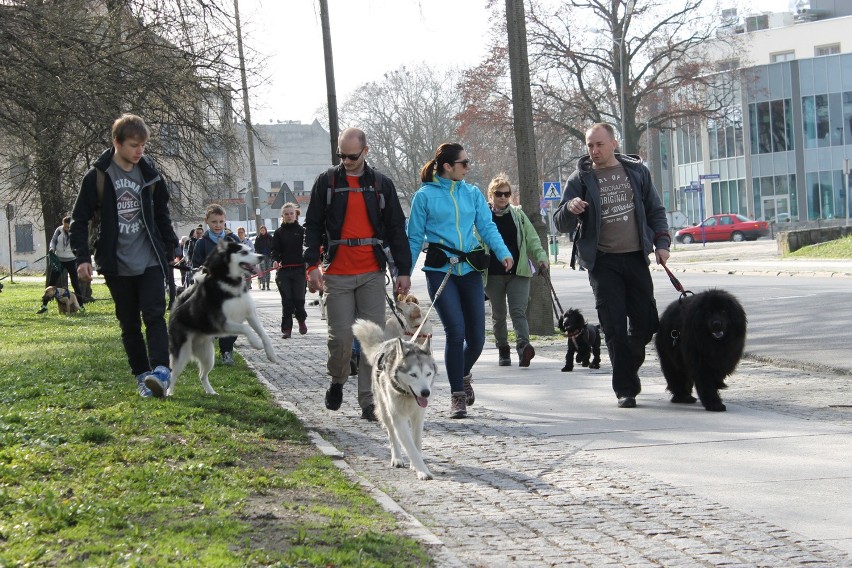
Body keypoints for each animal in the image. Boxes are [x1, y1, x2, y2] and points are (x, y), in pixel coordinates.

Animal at [165, 240, 274, 394]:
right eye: (243, 252)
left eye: (250, 250)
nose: (262, 257)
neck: (231, 283)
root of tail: (175, 310)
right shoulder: (223, 323)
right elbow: (245, 328)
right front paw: (256, 343)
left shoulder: (251, 314)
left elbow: (264, 334)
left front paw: (270, 353)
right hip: (182, 354)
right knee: (172, 374)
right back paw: (169, 393)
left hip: (208, 356)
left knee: (202, 375)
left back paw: (211, 392)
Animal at [352, 320, 436, 480]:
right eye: (413, 375)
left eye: (428, 374)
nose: (425, 393)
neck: (407, 395)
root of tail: (386, 343)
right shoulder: (398, 419)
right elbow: (409, 446)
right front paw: (422, 471)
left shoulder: (418, 416)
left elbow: (417, 443)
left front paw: (415, 465)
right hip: (385, 411)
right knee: (392, 435)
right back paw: (397, 458)